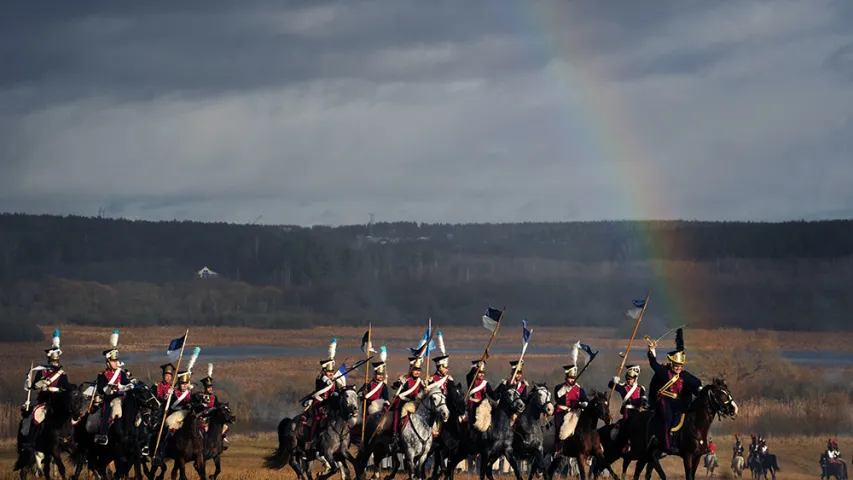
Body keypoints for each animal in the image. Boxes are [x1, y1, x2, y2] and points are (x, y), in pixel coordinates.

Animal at [612, 378, 740, 480]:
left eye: (728, 392)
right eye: (720, 393)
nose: (735, 409)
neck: (695, 425)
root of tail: (634, 418)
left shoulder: (697, 457)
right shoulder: (687, 456)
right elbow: (688, 476)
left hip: (645, 453)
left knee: (639, 468)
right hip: (639, 450)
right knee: (627, 459)